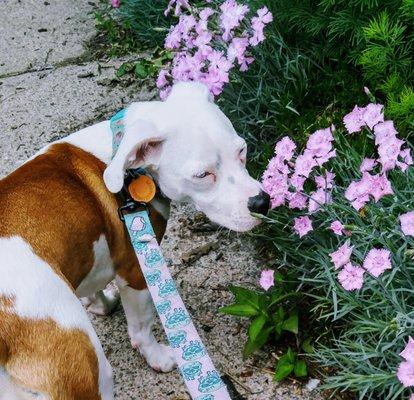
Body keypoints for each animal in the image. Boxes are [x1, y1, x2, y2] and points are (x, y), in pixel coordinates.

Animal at [0, 83, 270, 398]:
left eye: (242, 150)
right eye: (203, 175)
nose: (262, 202)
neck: (121, 158)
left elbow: (92, 284)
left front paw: (100, 303)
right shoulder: (136, 271)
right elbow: (141, 327)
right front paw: (157, 355)